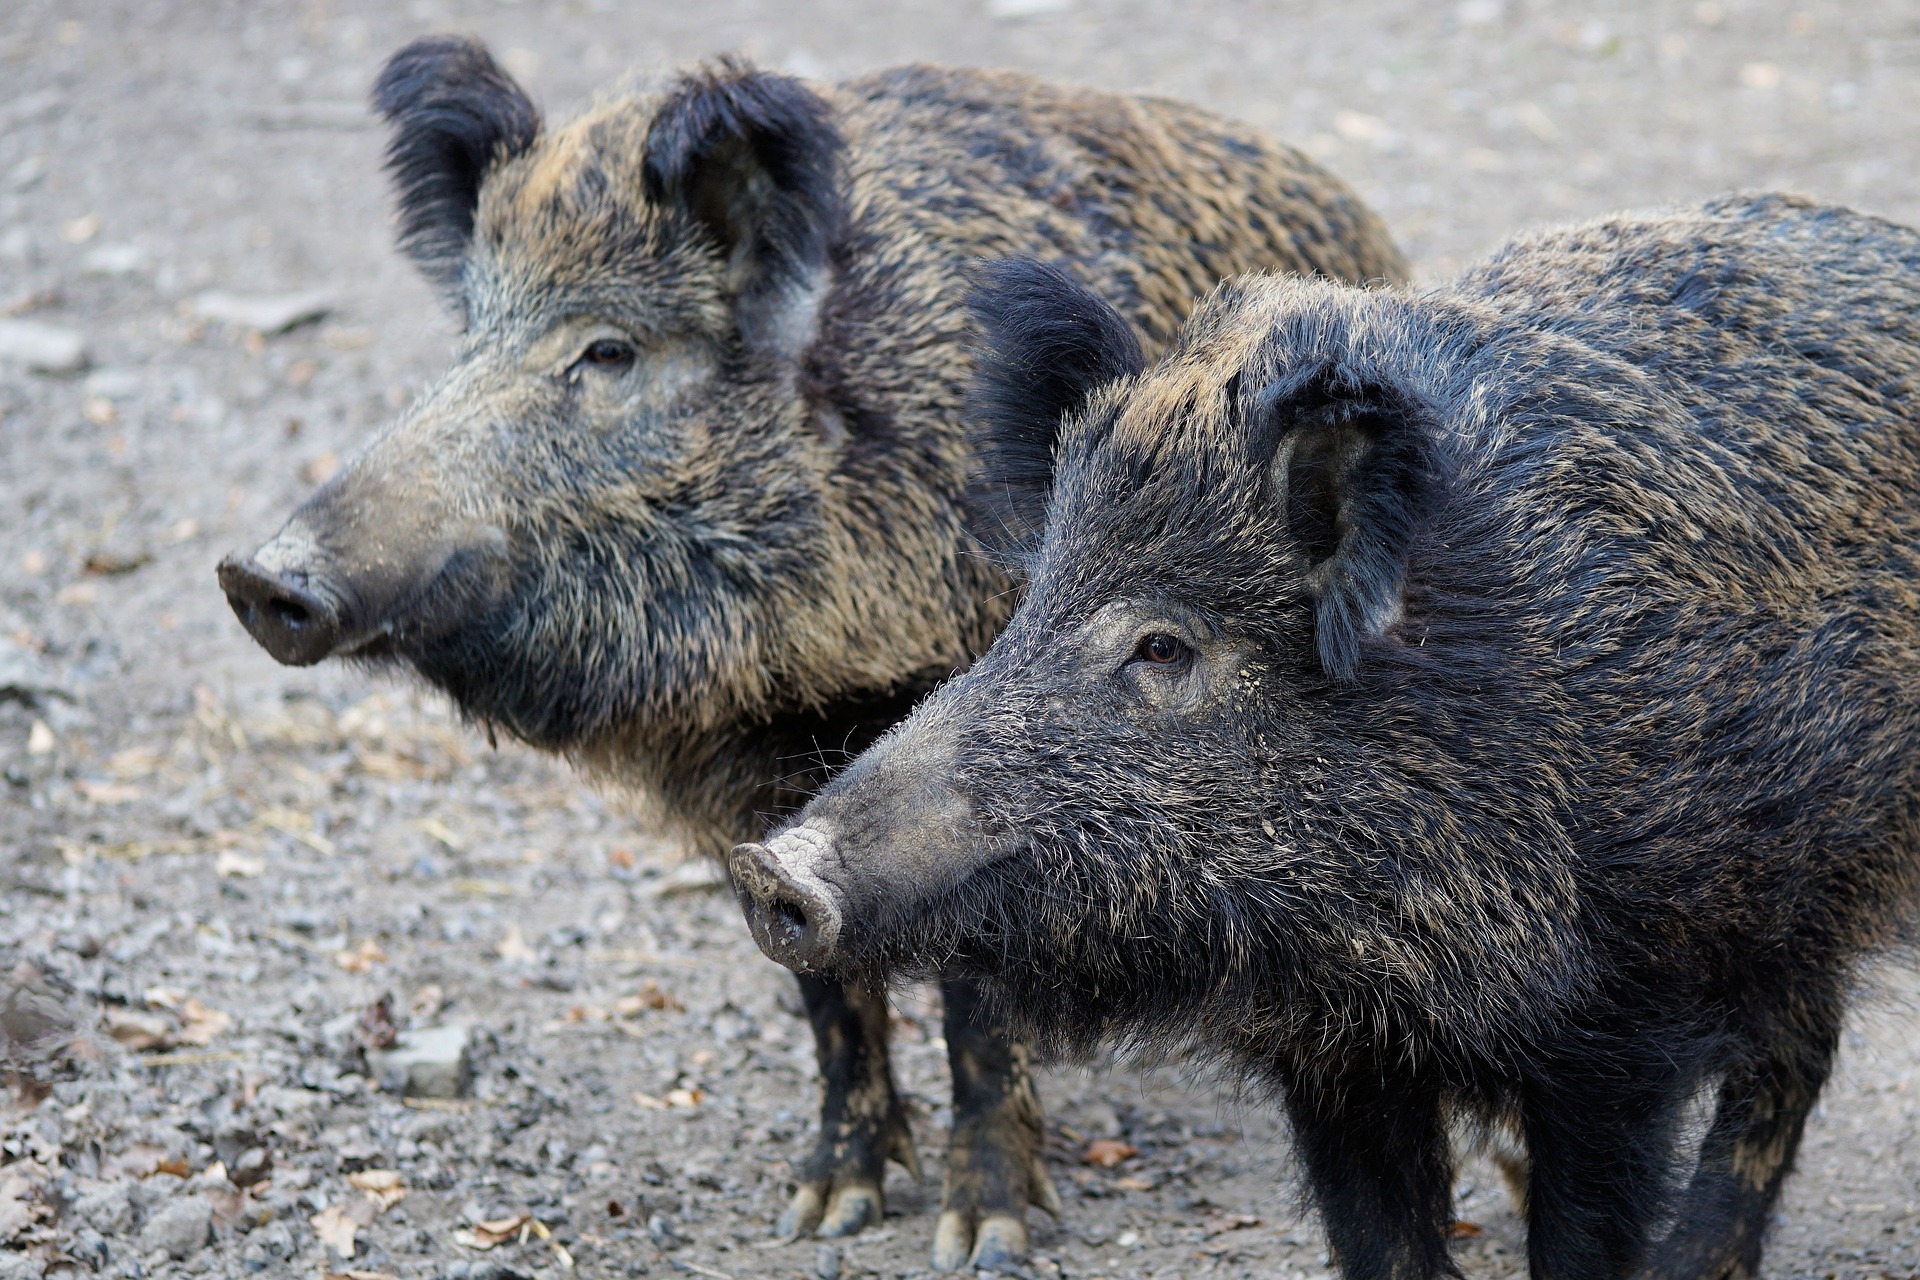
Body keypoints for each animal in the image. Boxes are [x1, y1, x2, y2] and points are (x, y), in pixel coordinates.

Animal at [215, 35, 1407, 1270]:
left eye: (609, 350)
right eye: (469, 338)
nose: (258, 576)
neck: (803, 673)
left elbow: (972, 1000)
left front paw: (981, 1236)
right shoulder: (752, 789)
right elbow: (824, 990)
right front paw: (825, 1207)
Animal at [733, 193, 1920, 1280]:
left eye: (1162, 646)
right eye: (1029, 604)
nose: (767, 867)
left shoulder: (1621, 1028)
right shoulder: (1335, 1052)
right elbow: (1383, 1242)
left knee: (1791, 1057)